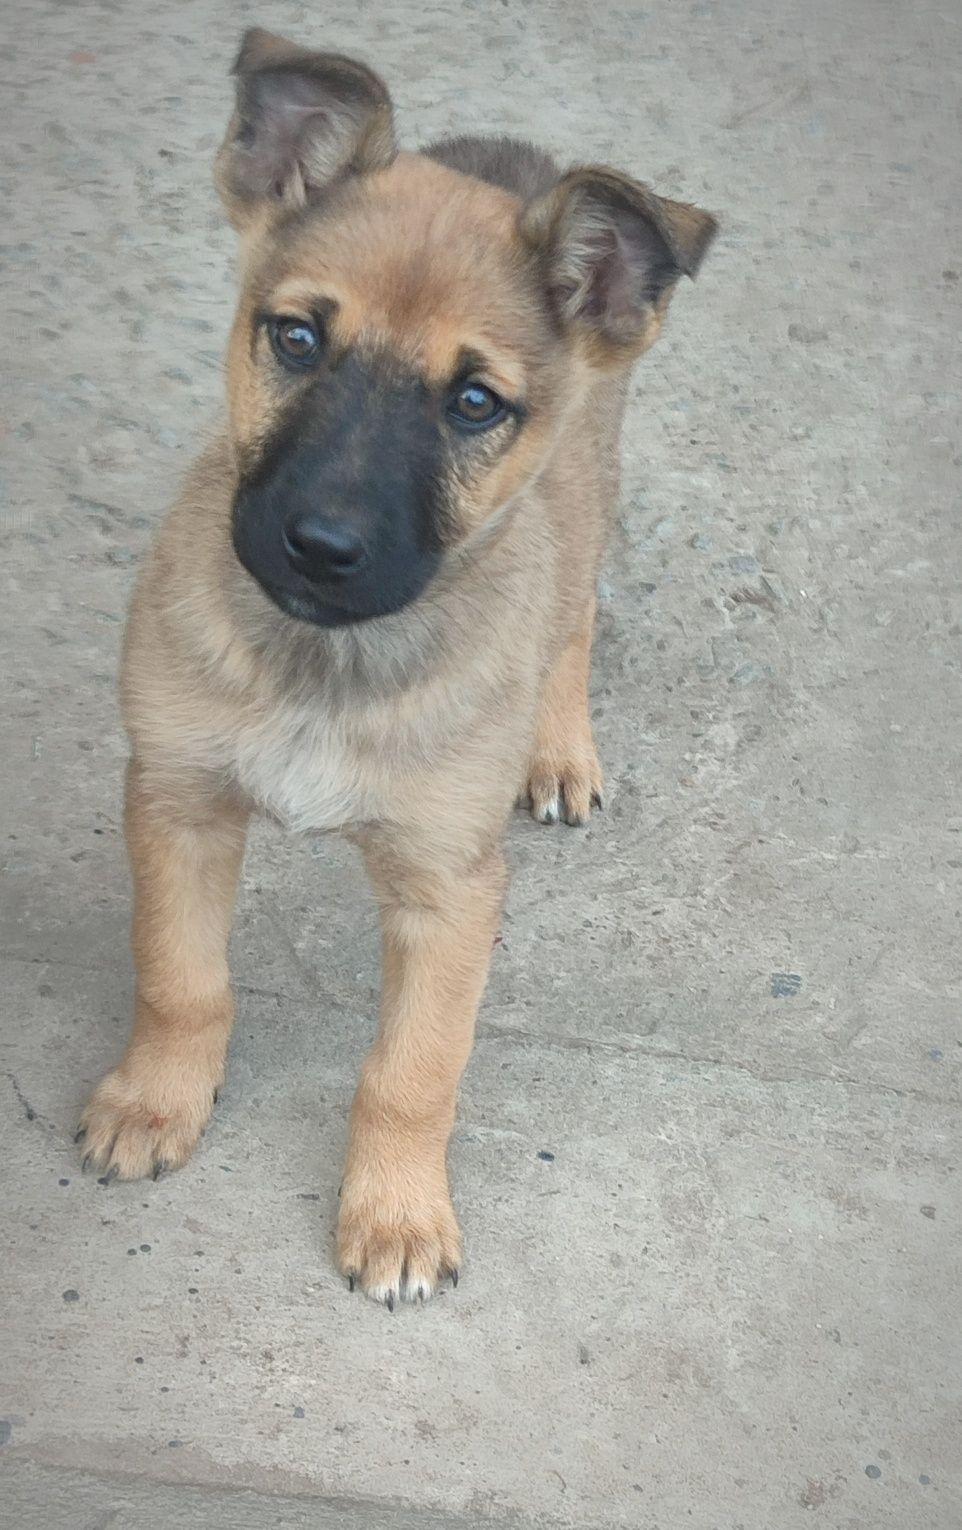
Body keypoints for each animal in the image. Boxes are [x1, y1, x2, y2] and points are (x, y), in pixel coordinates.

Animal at [76, 26, 712, 1303]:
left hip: (585, 494)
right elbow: (179, 977)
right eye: (296, 338)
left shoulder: (447, 887)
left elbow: (413, 1070)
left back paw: (558, 750)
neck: (328, 662)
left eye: (472, 402)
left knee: (571, 617)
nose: (320, 545)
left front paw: (398, 1212)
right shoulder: (175, 800)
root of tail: (515, 153)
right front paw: (156, 1100)